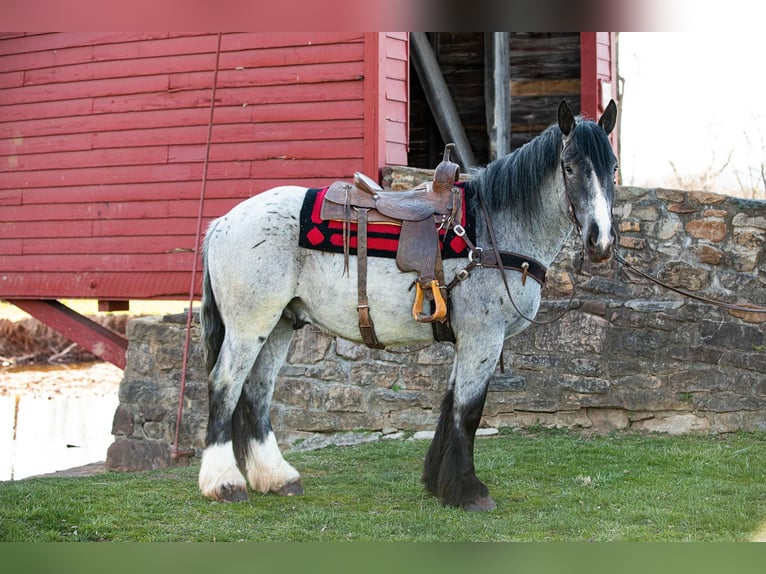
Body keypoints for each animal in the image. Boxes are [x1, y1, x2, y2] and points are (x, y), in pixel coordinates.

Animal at [201, 99, 620, 512]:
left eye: (613, 169)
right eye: (570, 167)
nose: (600, 240)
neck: (492, 230)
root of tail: (222, 222)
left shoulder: (468, 340)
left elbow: (451, 404)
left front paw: (441, 484)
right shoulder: (483, 337)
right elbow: (468, 410)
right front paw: (469, 491)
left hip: (279, 324)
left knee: (257, 390)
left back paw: (276, 477)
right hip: (249, 325)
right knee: (226, 383)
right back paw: (223, 482)